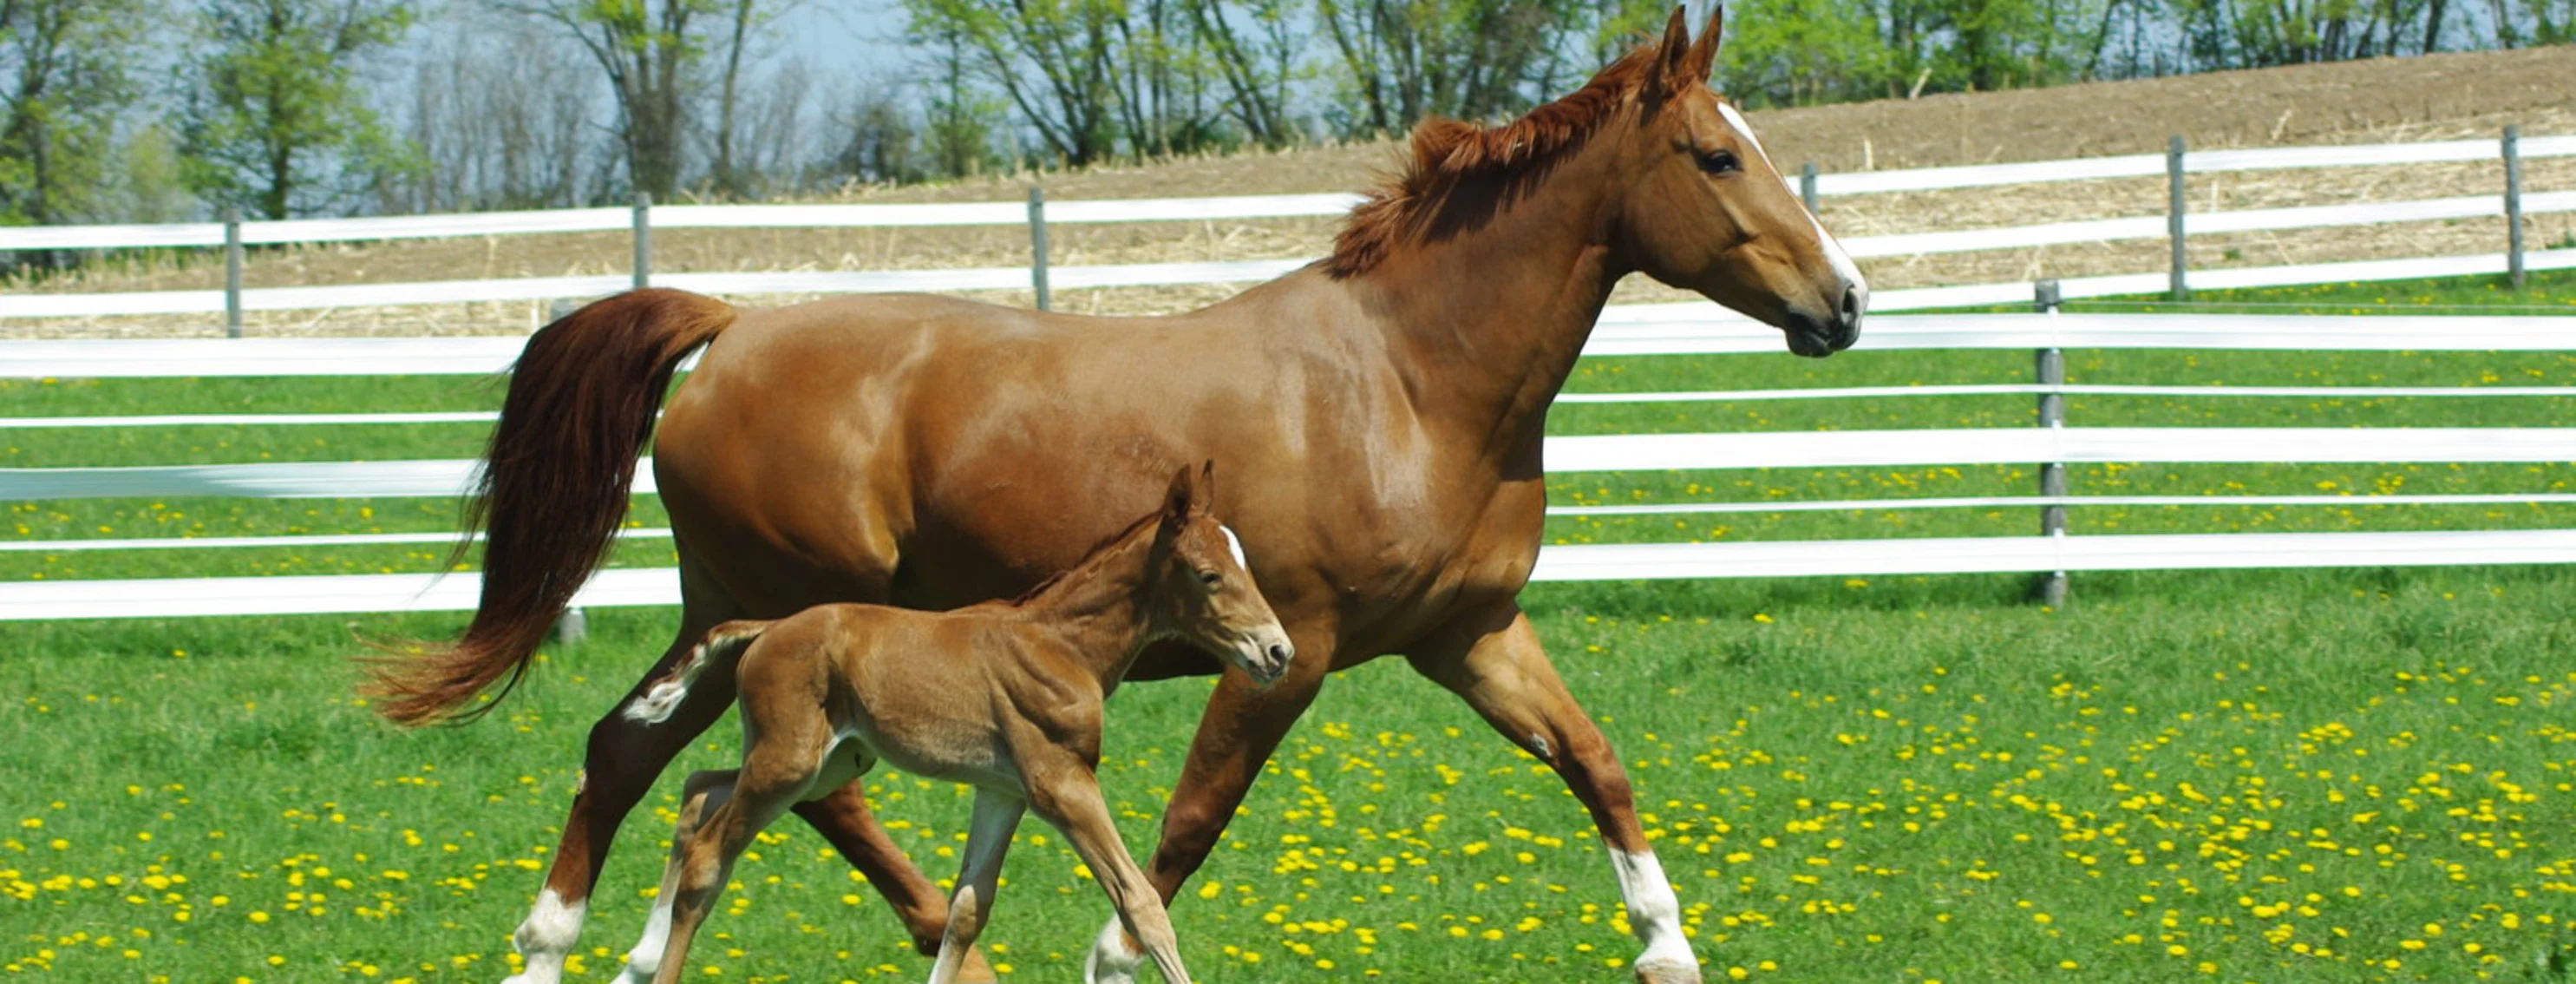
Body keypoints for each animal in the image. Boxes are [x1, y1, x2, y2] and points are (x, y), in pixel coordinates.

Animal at [614, 463, 1286, 984]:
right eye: (1210, 575)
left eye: (1248, 564)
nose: (1278, 651)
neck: (1062, 646)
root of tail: (767, 628)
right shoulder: (1061, 783)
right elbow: (1141, 904)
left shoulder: (1002, 792)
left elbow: (967, 911)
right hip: (791, 760)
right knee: (708, 854)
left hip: (829, 759)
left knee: (700, 787)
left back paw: (640, 957)